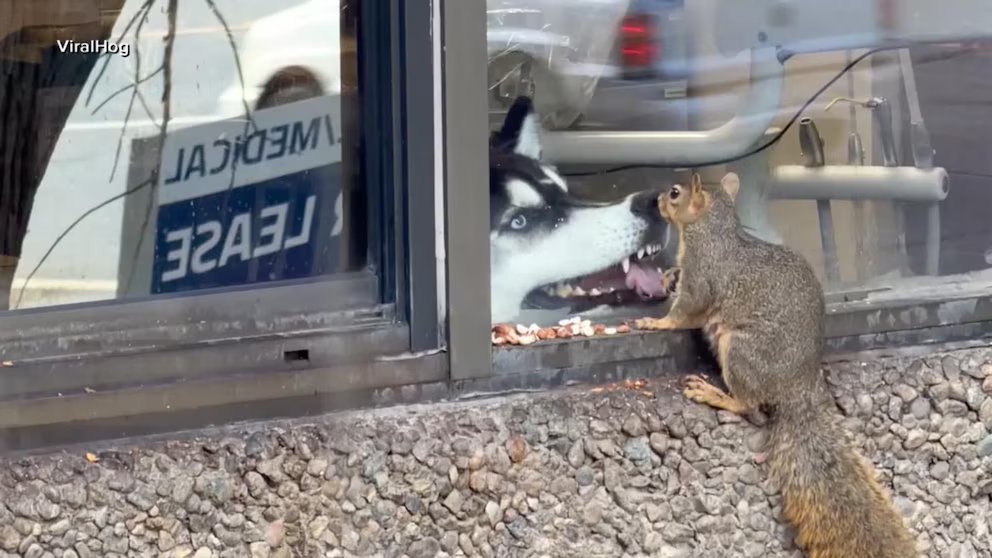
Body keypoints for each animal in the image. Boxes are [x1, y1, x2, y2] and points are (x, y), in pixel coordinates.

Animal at [635, 172, 918, 558]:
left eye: (675, 193)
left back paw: (715, 394)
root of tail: (798, 389)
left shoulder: (704, 275)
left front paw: (656, 323)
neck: (713, 229)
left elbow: (687, 310)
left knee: (750, 406)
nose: (656, 200)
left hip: (741, 351)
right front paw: (667, 277)